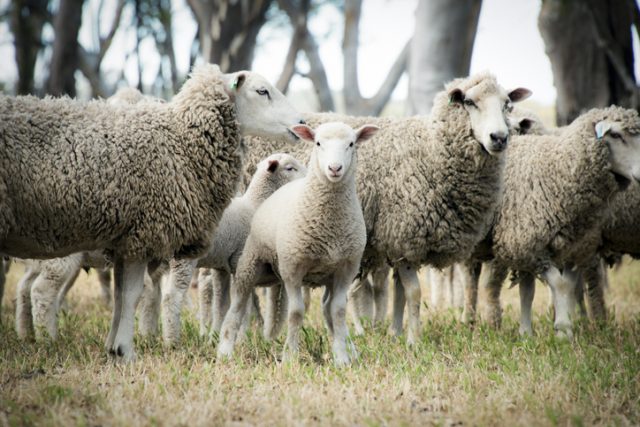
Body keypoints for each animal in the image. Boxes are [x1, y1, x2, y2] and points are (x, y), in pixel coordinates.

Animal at [161, 152, 308, 346]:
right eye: (290, 168)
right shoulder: (242, 261)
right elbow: (243, 304)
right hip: (183, 259)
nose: (309, 176)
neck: (255, 204)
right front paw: (241, 338)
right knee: (172, 296)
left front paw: (214, 337)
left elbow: (221, 304)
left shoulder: (221, 267)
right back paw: (172, 341)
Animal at [218, 122, 378, 366]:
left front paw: (342, 357)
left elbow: (338, 312)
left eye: (351, 144)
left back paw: (349, 348)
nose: (334, 168)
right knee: (237, 305)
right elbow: (295, 313)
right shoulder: (293, 268)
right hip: (251, 263)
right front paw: (290, 357)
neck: (330, 221)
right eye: (318, 143)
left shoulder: (346, 269)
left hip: (326, 276)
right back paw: (225, 350)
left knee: (327, 308)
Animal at [240, 73, 528, 346]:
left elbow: (399, 293)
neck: (432, 150)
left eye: (507, 104)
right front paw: (413, 341)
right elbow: (413, 293)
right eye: (469, 102)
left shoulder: (398, 243)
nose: (499, 138)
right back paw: (249, 326)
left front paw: (396, 333)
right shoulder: (404, 234)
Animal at [482, 106, 640, 338]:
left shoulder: (572, 249)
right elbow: (556, 283)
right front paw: (561, 330)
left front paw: (545, 331)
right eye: (617, 135)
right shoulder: (525, 244)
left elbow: (560, 286)